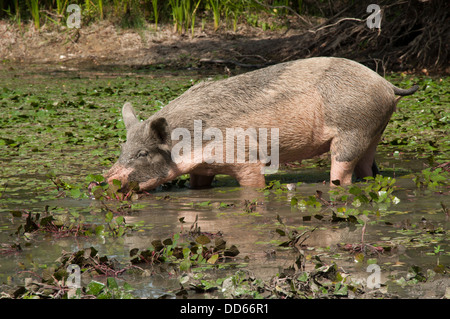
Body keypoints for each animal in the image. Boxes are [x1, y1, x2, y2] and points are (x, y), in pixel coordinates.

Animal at [105, 56, 418, 191]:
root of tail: (385, 83)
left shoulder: (246, 158)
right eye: (121, 149)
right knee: (368, 169)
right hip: (373, 132)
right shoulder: (203, 169)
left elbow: (253, 184)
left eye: (143, 153)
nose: (107, 179)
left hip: (352, 131)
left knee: (342, 171)